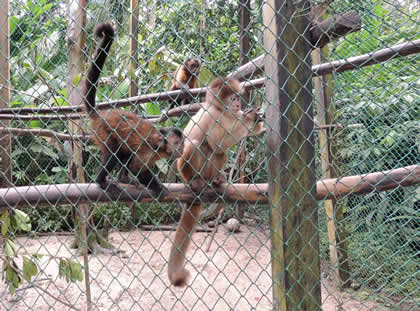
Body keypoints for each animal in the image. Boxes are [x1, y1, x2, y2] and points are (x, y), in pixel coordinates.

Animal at [83, 22, 184, 197]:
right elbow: (136, 169)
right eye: (177, 143)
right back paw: (101, 181)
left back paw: (123, 179)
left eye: (182, 144)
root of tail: (100, 115)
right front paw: (158, 188)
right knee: (114, 153)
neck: (161, 146)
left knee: (124, 152)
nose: (181, 149)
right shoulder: (150, 149)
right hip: (103, 131)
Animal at [168, 77, 264, 286]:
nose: (237, 103)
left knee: (219, 152)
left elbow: (225, 144)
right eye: (232, 98)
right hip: (184, 169)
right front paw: (250, 118)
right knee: (198, 144)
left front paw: (256, 121)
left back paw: (217, 180)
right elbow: (217, 142)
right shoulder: (211, 115)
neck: (222, 111)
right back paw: (195, 181)